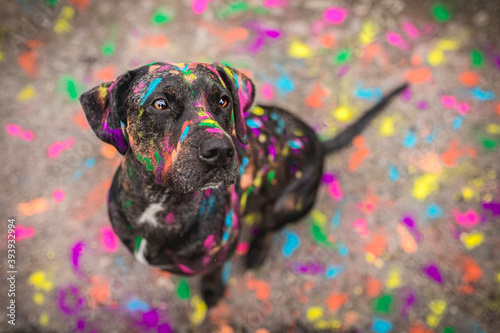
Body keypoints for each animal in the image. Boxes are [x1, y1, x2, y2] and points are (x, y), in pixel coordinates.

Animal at [79, 61, 406, 304]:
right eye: (160, 104)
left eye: (223, 101)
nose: (220, 151)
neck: (161, 202)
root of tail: (319, 143)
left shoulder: (225, 247)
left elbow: (214, 272)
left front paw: (212, 291)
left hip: (290, 203)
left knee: (270, 227)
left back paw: (257, 251)